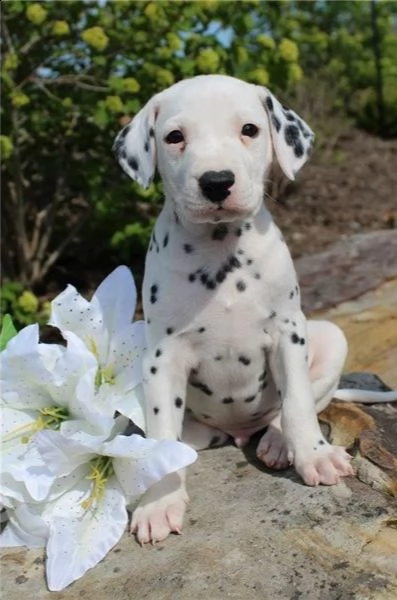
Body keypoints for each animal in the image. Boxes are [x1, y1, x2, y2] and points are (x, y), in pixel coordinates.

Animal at [112, 74, 396, 544]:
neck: (221, 249)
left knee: (298, 404)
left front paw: (314, 456)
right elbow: (162, 438)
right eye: (174, 137)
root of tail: (238, 433)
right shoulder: (162, 356)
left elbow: (297, 403)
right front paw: (159, 502)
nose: (216, 182)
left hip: (330, 338)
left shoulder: (287, 332)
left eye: (249, 129)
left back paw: (278, 442)